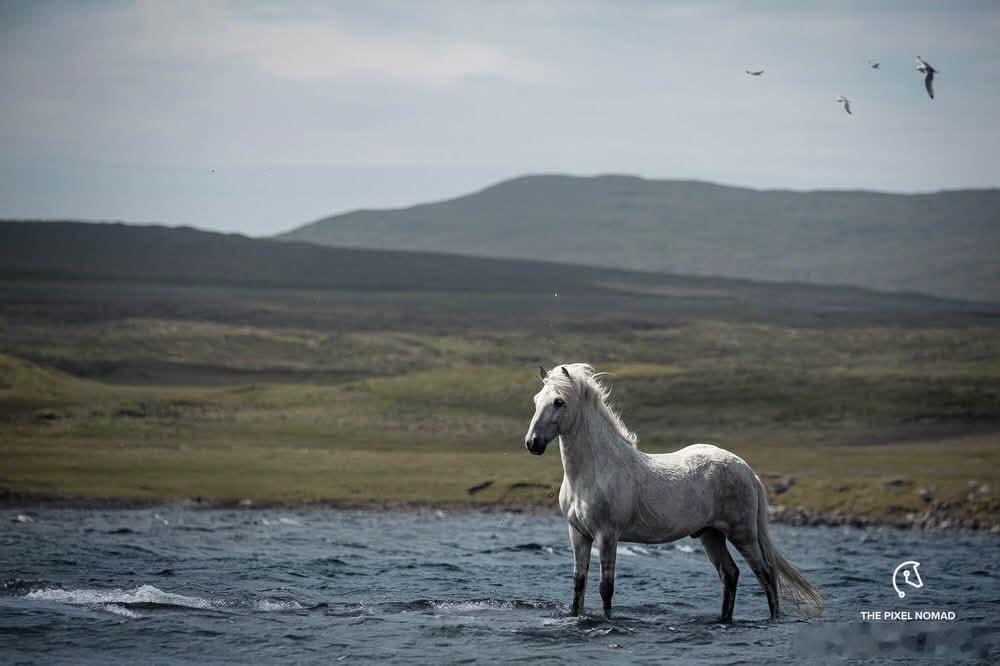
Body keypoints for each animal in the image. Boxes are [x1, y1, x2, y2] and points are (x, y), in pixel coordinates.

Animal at [523, 363, 822, 622]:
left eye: (559, 402)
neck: (594, 470)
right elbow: (579, 584)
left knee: (766, 574)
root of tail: (747, 470)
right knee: (730, 574)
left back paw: (773, 620)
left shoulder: (607, 535)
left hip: (742, 533)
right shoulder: (578, 534)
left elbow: (606, 587)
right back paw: (724, 620)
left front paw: (608, 621)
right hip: (711, 534)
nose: (532, 443)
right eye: (537, 400)